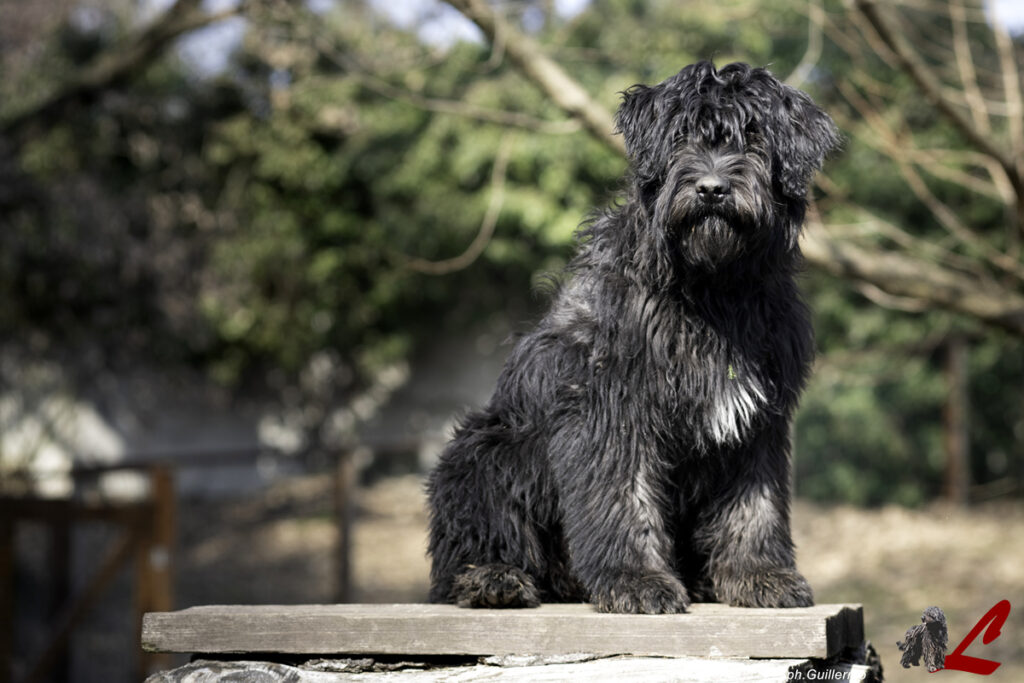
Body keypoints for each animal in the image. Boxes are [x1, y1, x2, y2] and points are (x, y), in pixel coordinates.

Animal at [423, 60, 839, 614]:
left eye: (753, 136)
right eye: (681, 136)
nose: (712, 189)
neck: (711, 290)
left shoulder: (757, 422)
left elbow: (755, 505)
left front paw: (758, 574)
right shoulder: (610, 407)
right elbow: (623, 497)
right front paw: (635, 580)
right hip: (484, 450)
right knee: (467, 547)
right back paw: (492, 580)